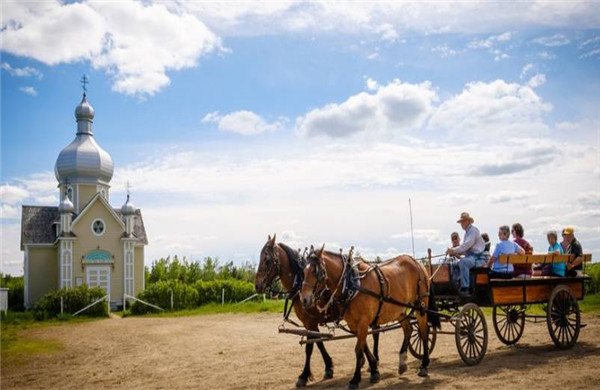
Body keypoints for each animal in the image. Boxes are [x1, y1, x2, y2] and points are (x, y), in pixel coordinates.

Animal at [255, 235, 382, 386]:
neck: (299, 284)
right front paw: (328, 367)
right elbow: (319, 343)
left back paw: (375, 361)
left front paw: (303, 375)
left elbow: (309, 348)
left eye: (267, 260)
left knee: (375, 333)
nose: (257, 285)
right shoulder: (310, 323)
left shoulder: (310, 322)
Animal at [302, 245, 438, 388]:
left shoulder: (363, 321)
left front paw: (355, 379)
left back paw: (424, 365)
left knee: (424, 332)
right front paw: (373, 369)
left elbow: (358, 350)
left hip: (420, 306)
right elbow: (363, 346)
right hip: (399, 310)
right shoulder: (354, 323)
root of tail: (418, 263)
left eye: (316, 272)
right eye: (303, 271)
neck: (351, 284)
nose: (304, 299)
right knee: (408, 329)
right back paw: (402, 362)